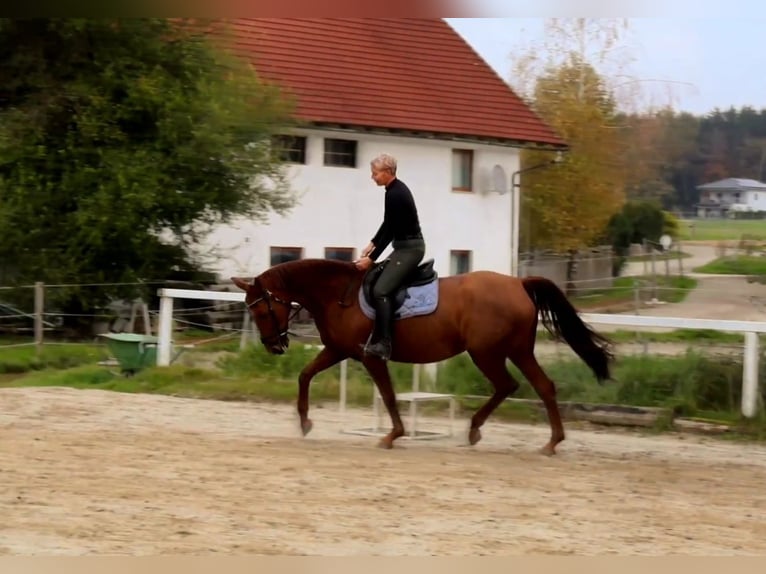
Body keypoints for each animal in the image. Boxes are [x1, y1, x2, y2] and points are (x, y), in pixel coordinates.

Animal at [231, 258, 616, 456]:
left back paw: (479, 430)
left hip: (487, 352)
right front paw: (304, 422)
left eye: (261, 310)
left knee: (509, 385)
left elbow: (387, 394)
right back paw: (550, 441)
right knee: (543, 386)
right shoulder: (338, 350)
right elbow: (305, 375)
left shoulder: (371, 357)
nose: (273, 345)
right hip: (517, 350)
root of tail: (518, 283)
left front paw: (393, 435)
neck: (339, 295)